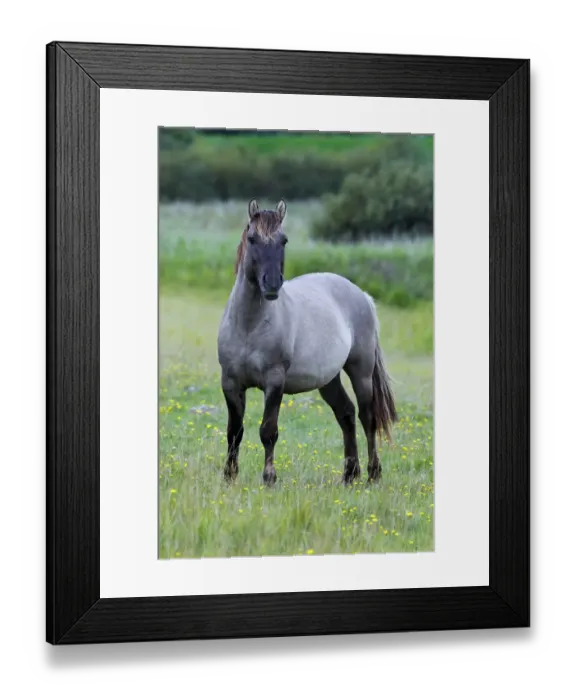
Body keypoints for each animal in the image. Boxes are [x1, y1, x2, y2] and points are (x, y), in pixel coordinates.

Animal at [217, 198, 397, 486]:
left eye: (284, 240)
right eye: (253, 239)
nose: (272, 285)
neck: (249, 326)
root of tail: (363, 295)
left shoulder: (275, 381)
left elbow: (268, 431)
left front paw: (269, 478)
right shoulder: (231, 382)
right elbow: (234, 431)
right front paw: (229, 477)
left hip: (361, 371)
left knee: (367, 418)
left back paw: (373, 475)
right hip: (328, 379)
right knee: (346, 414)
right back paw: (350, 475)